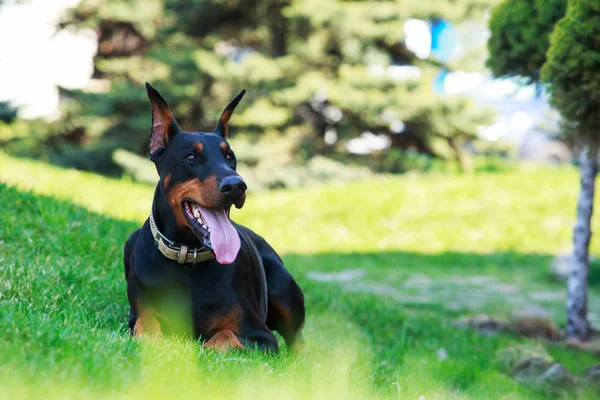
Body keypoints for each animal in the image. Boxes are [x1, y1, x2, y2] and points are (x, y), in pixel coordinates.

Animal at [125, 83, 308, 352]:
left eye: (230, 156)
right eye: (191, 157)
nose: (236, 185)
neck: (188, 256)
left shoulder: (261, 338)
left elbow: (223, 338)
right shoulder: (135, 316)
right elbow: (144, 324)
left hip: (282, 284)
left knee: (297, 342)